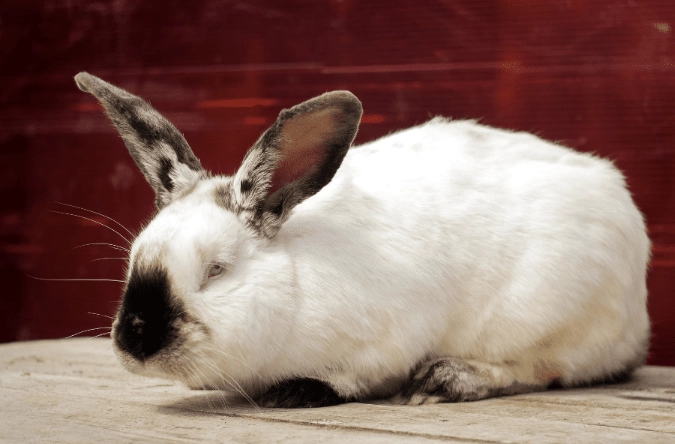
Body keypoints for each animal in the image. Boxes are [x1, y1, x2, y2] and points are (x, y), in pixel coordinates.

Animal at [74, 72, 651, 408]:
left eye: (216, 270)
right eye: (135, 259)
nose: (135, 339)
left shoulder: (385, 342)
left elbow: (358, 377)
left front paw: (299, 390)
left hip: (547, 320)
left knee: (546, 370)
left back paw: (447, 379)